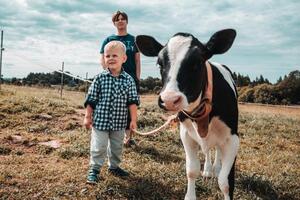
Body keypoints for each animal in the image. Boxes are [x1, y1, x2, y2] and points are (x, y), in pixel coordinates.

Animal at [137, 28, 240, 199]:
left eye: (197, 63)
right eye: (160, 63)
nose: (169, 99)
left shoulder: (233, 139)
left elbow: (225, 183)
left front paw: (221, 175)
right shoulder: (186, 134)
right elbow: (191, 171)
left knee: (217, 150)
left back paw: (216, 168)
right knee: (208, 150)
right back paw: (208, 170)